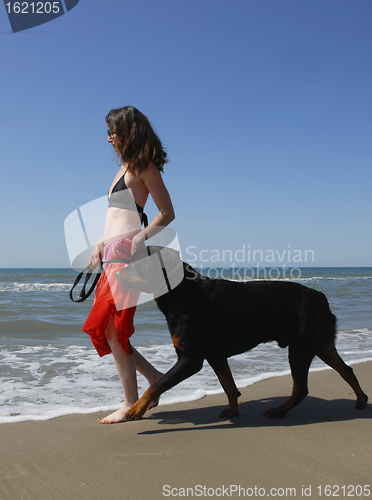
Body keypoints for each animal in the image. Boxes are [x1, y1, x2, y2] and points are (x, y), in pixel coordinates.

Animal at [115, 246, 366, 418]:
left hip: (301, 347)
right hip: (321, 342)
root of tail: (321, 297)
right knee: (346, 370)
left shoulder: (190, 359)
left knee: (302, 387)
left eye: (137, 263)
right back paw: (362, 399)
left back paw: (279, 410)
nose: (116, 275)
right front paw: (233, 410)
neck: (182, 292)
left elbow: (157, 384)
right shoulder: (215, 355)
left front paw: (135, 409)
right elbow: (228, 385)